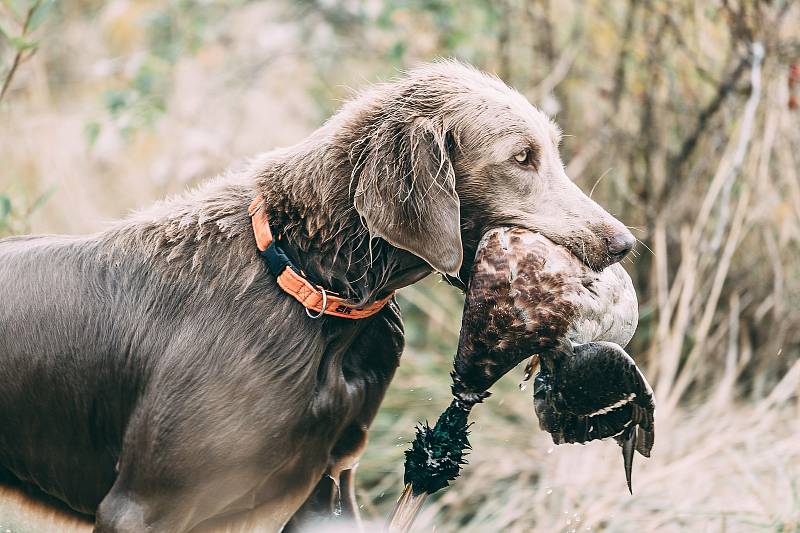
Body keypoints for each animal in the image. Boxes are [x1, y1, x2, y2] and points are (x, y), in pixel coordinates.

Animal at [0, 60, 636, 528]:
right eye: (521, 157)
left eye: (550, 150)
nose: (625, 243)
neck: (308, 288)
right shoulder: (143, 506)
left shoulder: (331, 478)